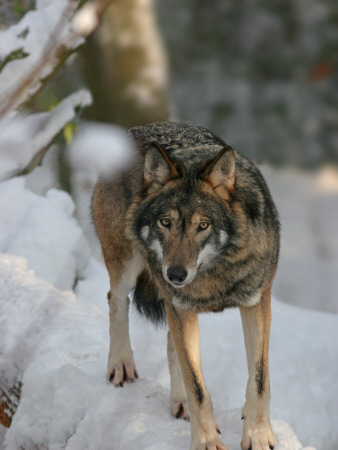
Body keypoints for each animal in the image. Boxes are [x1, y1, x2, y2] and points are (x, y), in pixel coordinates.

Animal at [92, 120, 280, 450]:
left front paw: (257, 435)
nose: (175, 275)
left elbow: (258, 380)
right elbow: (198, 388)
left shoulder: (257, 302)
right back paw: (121, 364)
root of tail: (137, 130)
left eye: (203, 225)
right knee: (116, 300)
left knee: (171, 345)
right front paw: (206, 442)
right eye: (165, 222)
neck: (216, 273)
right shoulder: (180, 306)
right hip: (129, 268)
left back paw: (178, 402)